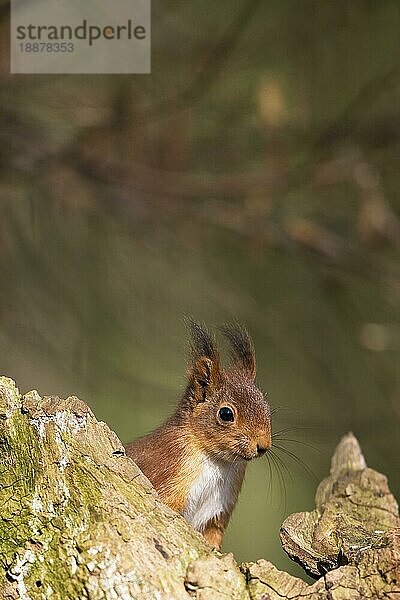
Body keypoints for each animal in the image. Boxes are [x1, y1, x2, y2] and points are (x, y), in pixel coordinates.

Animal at [126, 322, 272, 552]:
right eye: (226, 414)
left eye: (267, 407)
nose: (263, 445)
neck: (217, 462)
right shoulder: (167, 472)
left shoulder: (219, 510)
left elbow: (213, 536)